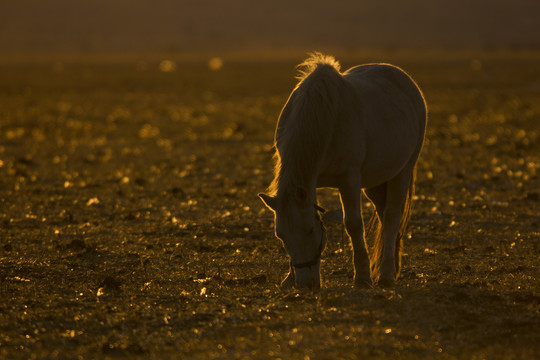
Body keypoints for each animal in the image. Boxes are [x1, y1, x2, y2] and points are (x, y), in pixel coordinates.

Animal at [258, 52, 426, 290]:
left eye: (310, 230)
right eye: (280, 235)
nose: (306, 284)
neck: (326, 118)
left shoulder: (349, 180)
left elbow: (353, 224)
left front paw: (363, 278)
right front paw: (288, 279)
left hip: (402, 171)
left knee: (392, 217)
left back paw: (386, 276)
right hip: (375, 182)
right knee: (384, 216)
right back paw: (392, 267)